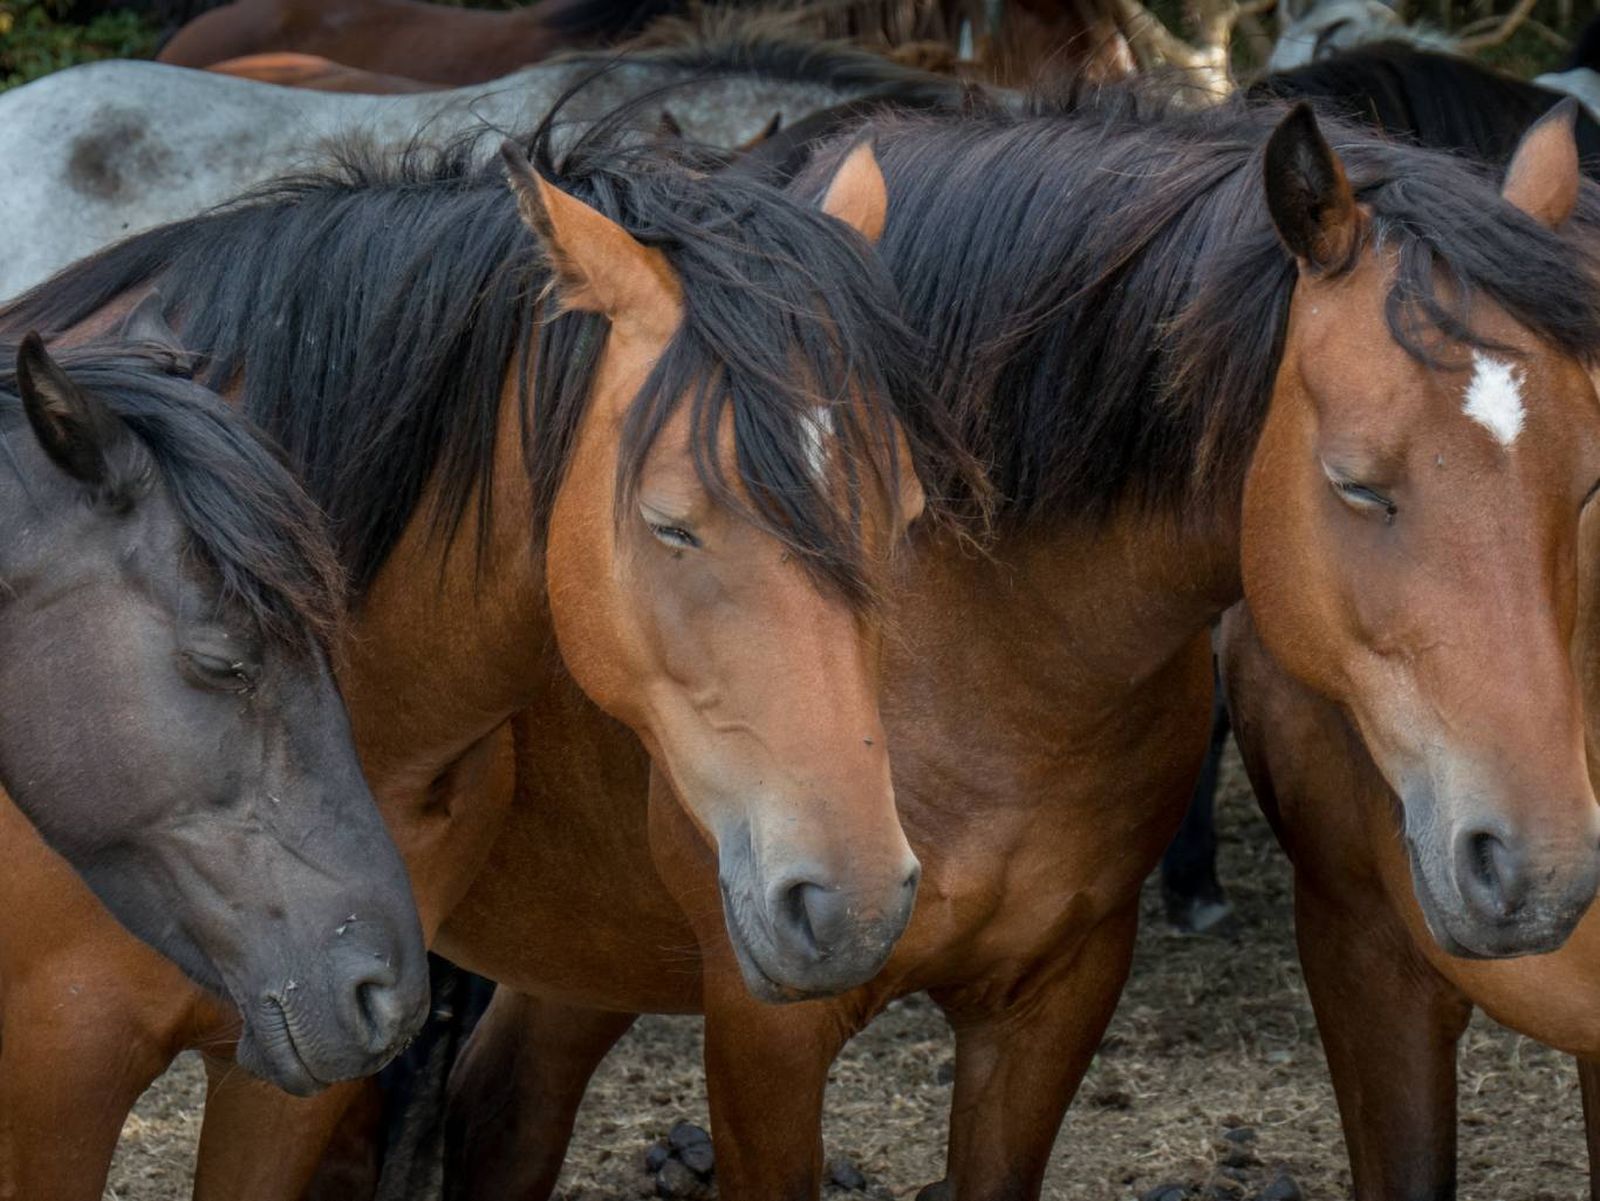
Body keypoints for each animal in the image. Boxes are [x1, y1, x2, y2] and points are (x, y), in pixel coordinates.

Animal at [204, 91, 1598, 1201]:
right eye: (1357, 485)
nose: (1533, 865)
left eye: (1584, 486)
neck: (981, 655)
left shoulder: (1052, 996)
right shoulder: (764, 1025)